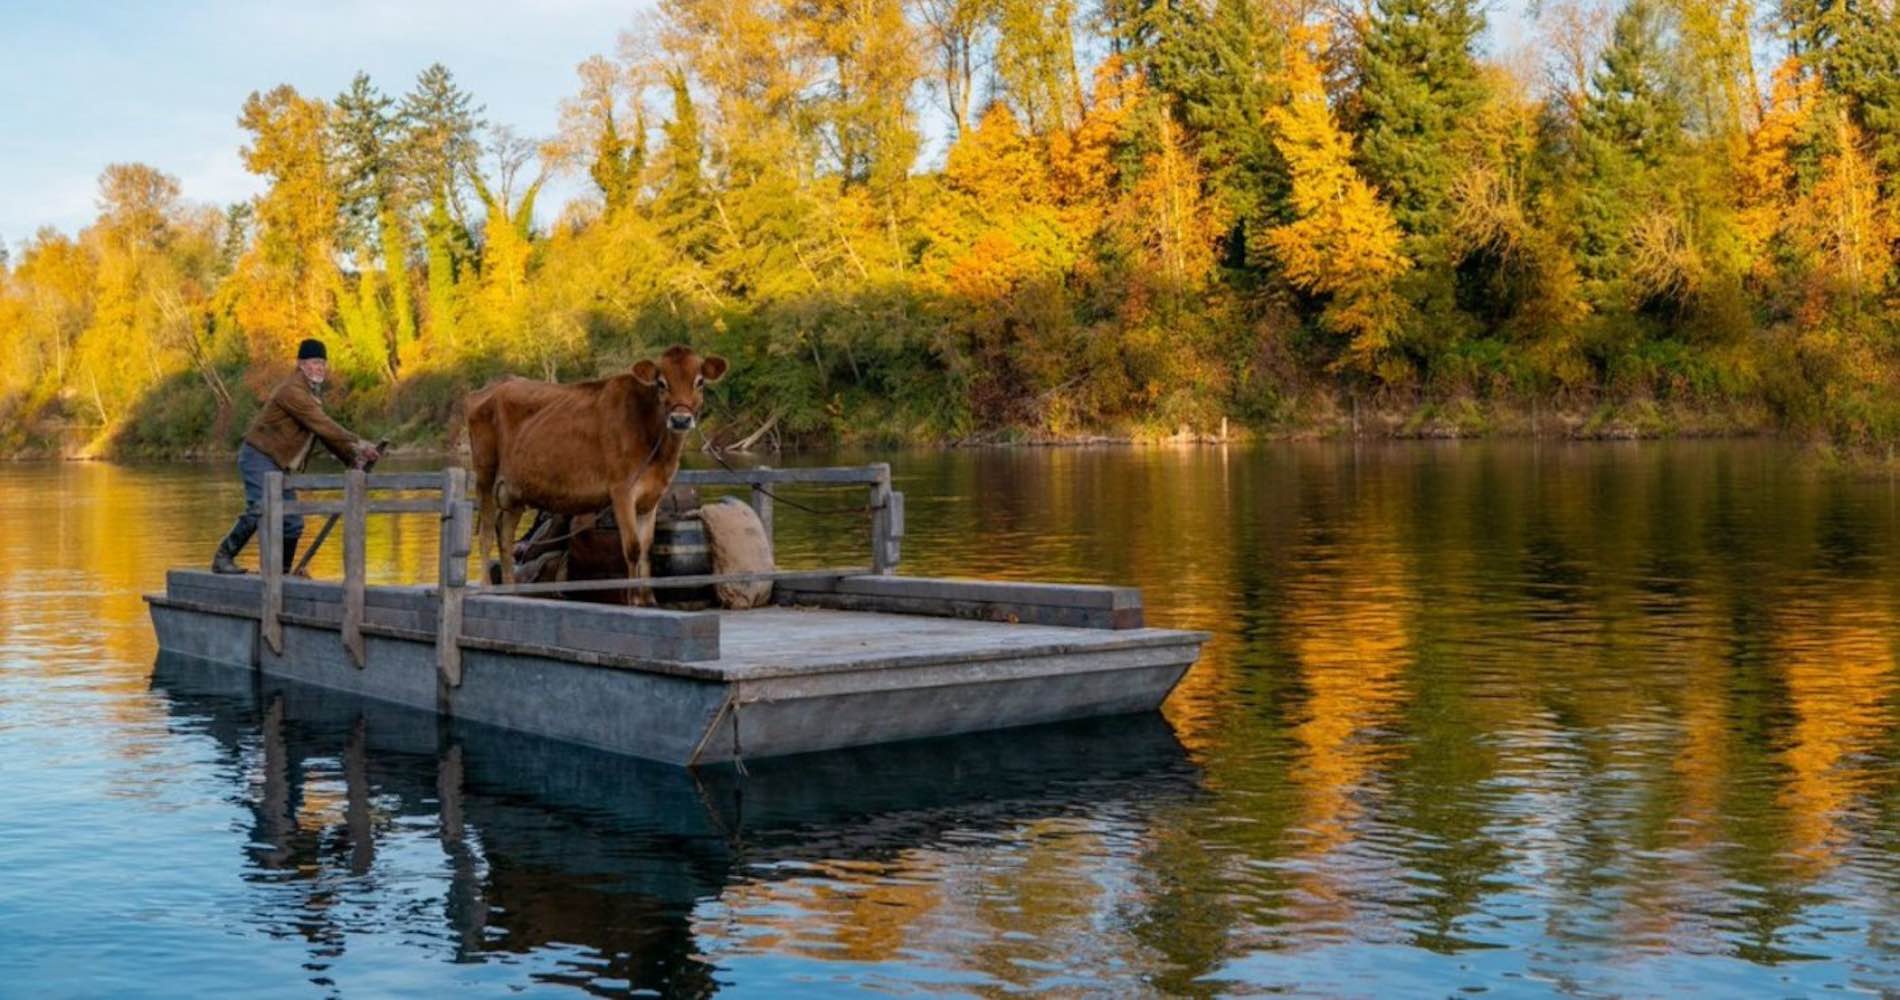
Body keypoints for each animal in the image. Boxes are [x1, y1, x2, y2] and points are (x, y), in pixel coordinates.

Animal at [465, 345, 728, 603]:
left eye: (700, 381)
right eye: (661, 383)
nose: (680, 419)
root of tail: (495, 386)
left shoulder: (651, 497)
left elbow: (646, 549)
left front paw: (648, 599)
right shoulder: (622, 491)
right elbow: (632, 548)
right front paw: (633, 599)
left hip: (515, 490)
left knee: (505, 533)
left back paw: (511, 590)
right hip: (485, 474)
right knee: (486, 531)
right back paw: (486, 588)